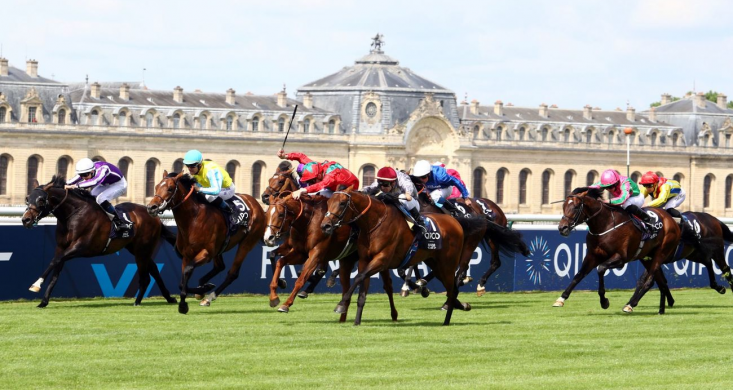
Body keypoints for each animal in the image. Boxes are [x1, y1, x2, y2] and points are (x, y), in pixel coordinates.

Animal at [21, 176, 177, 308]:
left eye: (41, 200)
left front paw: (36, 284)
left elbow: (54, 261)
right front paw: (43, 302)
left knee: (146, 277)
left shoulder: (80, 247)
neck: (73, 215)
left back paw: (137, 301)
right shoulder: (61, 247)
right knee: (154, 269)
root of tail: (154, 216)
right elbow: (55, 272)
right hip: (136, 248)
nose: (25, 219)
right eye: (27, 199)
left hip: (142, 248)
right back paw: (169, 298)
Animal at [146, 172, 266, 316]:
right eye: (156, 187)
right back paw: (204, 286)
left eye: (170, 189)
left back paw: (209, 297)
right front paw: (193, 296)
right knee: (220, 267)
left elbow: (187, 271)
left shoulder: (206, 253)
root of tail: (256, 204)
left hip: (247, 242)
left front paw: (185, 304)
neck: (193, 220)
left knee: (232, 273)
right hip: (219, 248)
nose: (151, 207)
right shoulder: (187, 255)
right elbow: (182, 282)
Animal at [320, 187, 486, 324]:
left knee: (453, 289)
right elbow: (362, 289)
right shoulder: (365, 260)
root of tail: (456, 222)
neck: (375, 222)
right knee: (451, 290)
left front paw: (341, 305)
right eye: (328, 202)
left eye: (342, 203)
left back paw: (446, 318)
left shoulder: (382, 259)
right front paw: (356, 321)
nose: (325, 225)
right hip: (436, 264)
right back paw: (459, 306)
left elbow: (358, 277)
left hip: (448, 264)